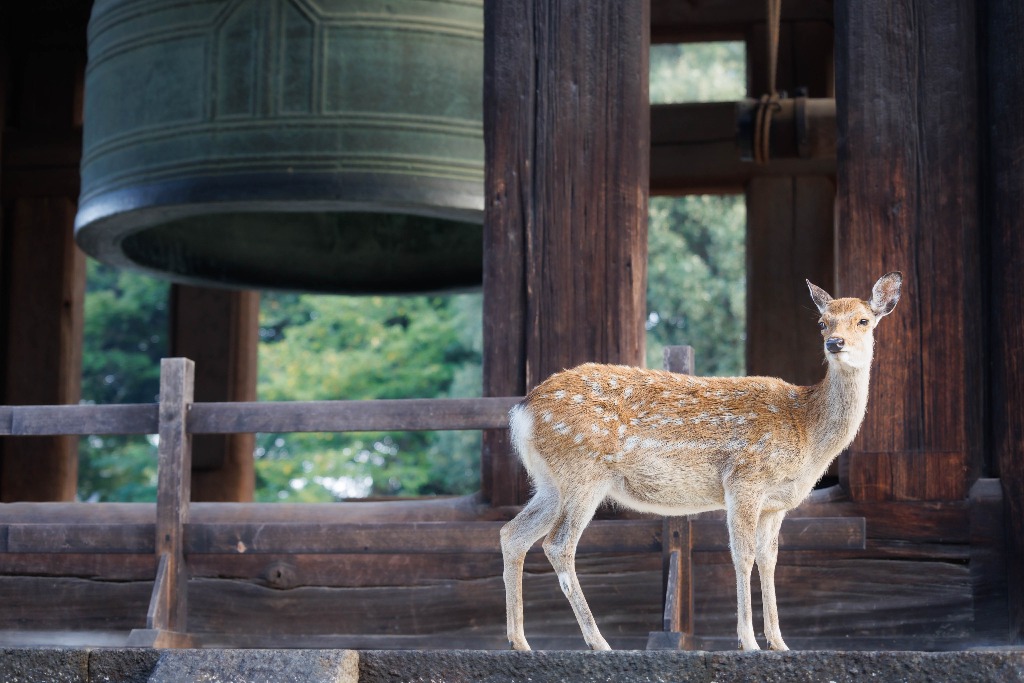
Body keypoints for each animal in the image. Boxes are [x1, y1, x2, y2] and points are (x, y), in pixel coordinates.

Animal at [500, 272, 902, 652]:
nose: (835, 343)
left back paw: (520, 641)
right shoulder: (744, 479)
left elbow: (769, 559)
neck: (808, 430)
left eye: (864, 320)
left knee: (512, 534)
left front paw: (779, 642)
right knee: (558, 544)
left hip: (551, 483)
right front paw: (748, 641)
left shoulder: (776, 504)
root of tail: (522, 413)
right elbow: (742, 556)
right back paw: (598, 642)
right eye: (823, 322)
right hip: (584, 471)